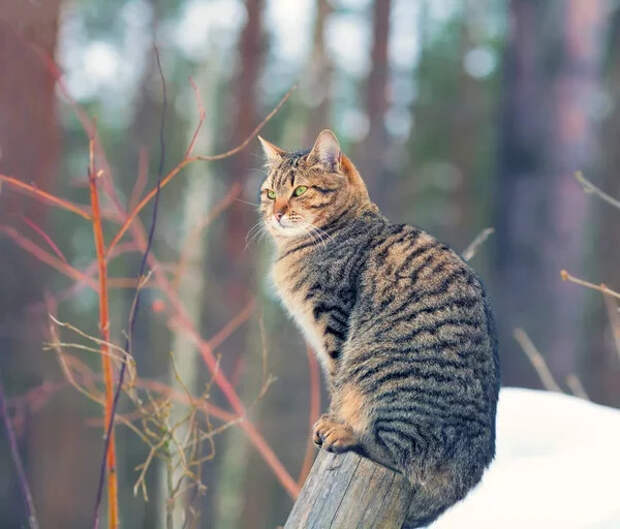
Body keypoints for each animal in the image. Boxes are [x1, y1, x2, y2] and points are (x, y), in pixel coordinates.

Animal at [256, 129, 498, 528]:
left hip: (381, 373)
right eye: (270, 193)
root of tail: (470, 475)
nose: (276, 214)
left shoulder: (334, 320)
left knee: (396, 453)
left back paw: (345, 434)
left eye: (300, 190)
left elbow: (337, 385)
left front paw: (332, 420)